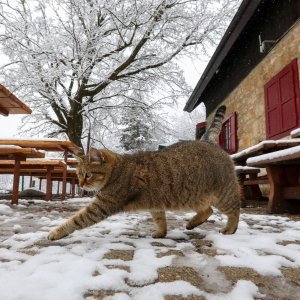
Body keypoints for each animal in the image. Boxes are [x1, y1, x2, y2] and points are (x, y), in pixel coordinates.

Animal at [49, 106, 241, 241]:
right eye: (78, 175)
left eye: (88, 175)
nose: (81, 184)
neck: (118, 169)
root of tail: (208, 141)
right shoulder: (155, 204)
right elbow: (160, 219)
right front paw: (161, 232)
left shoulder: (102, 205)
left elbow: (77, 219)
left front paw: (56, 232)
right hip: (193, 196)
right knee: (208, 210)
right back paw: (192, 223)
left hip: (222, 194)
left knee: (234, 210)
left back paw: (230, 229)